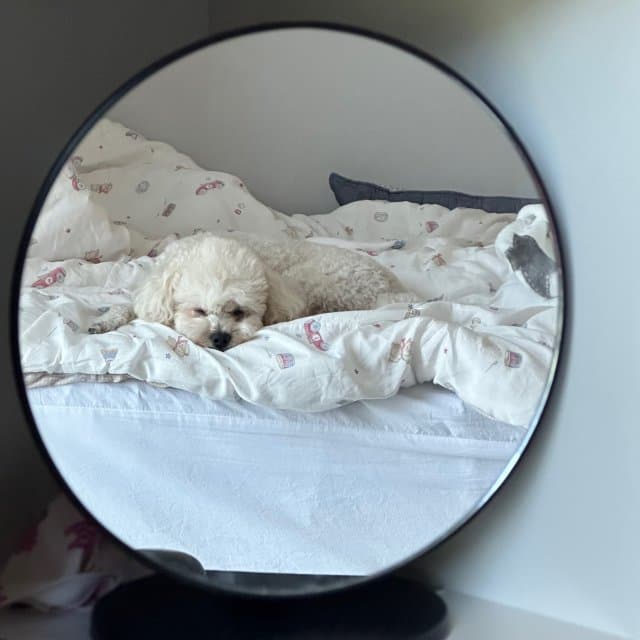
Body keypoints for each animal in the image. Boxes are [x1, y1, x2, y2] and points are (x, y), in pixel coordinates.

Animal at [91, 232, 413, 351]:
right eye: (199, 311)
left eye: (239, 312)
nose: (220, 339)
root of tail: (391, 288)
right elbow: (130, 305)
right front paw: (104, 321)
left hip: (311, 280)